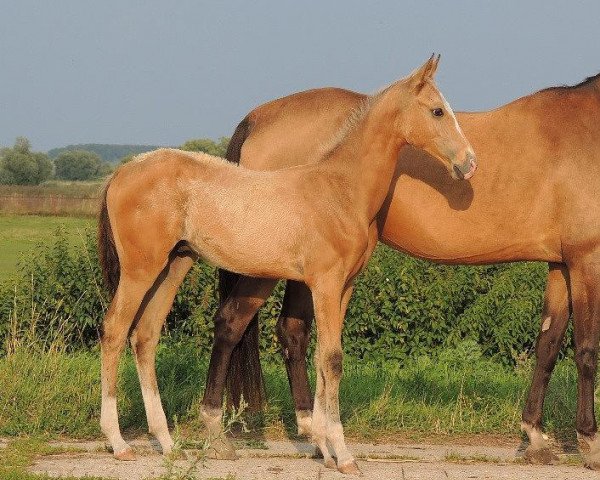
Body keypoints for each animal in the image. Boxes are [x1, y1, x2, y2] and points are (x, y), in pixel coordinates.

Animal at [97, 55, 474, 472]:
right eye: (438, 110)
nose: (468, 163)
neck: (339, 190)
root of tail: (121, 172)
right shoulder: (325, 284)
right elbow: (332, 359)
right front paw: (343, 455)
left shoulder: (343, 288)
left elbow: (324, 361)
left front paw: (325, 448)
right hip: (140, 269)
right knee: (114, 330)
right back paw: (119, 442)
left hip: (175, 265)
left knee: (144, 335)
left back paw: (167, 443)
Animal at [219, 70, 600, 464]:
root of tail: (259, 117)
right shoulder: (587, 260)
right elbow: (587, 350)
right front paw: (589, 441)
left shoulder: (562, 263)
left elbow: (548, 345)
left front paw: (536, 438)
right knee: (242, 323)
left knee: (291, 331)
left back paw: (312, 430)